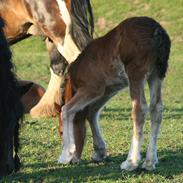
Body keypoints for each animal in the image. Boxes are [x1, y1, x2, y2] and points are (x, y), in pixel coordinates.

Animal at [58, 16, 170, 171]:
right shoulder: (107, 90)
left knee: (140, 110)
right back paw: (149, 162)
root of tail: (157, 31)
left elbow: (67, 110)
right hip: (156, 74)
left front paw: (65, 155)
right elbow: (92, 112)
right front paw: (99, 152)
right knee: (156, 109)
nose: (74, 161)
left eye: (61, 132)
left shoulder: (92, 88)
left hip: (136, 74)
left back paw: (131, 162)